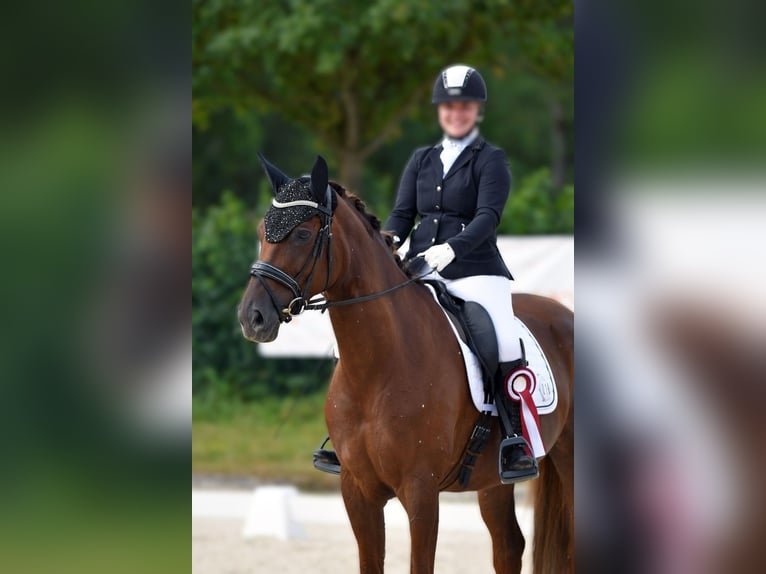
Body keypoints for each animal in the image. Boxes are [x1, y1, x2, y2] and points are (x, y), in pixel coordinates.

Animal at [238, 155, 574, 574]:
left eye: (301, 234)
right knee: (509, 545)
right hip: (491, 480)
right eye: (261, 232)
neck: (376, 370)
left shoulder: (421, 491)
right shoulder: (357, 491)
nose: (252, 318)